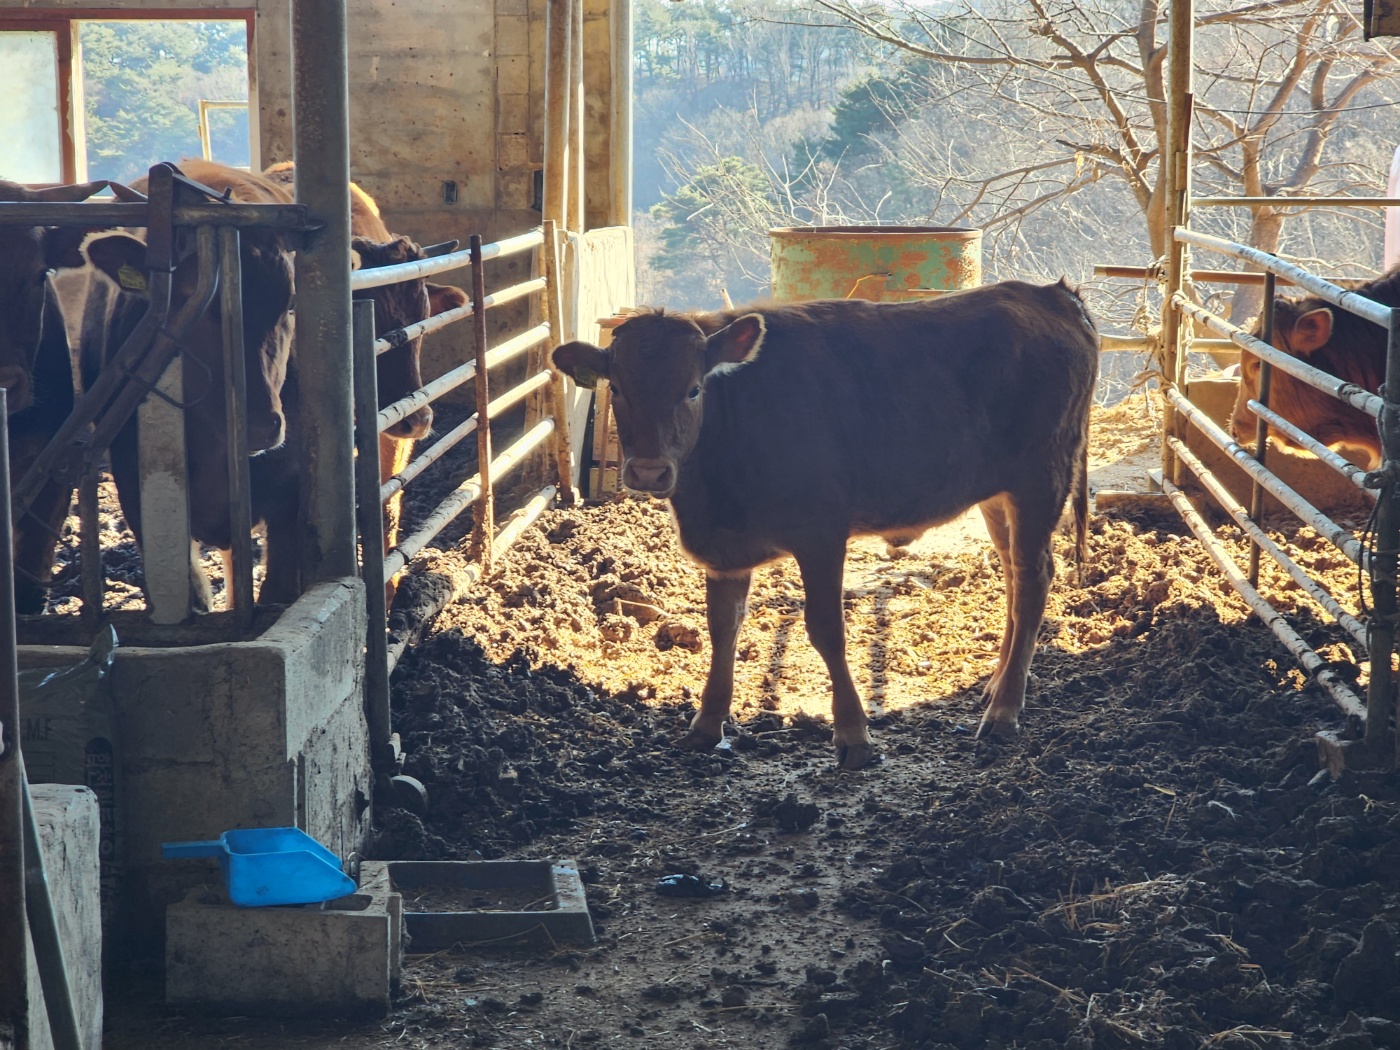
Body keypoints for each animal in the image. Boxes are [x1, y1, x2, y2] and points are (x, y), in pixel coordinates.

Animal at [551, 285, 1097, 772]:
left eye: (693, 388)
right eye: (618, 388)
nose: (648, 472)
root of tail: (1051, 294)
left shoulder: (821, 535)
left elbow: (827, 630)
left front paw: (854, 735)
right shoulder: (725, 551)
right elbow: (723, 626)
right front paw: (706, 723)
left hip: (1040, 479)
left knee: (1033, 578)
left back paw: (1004, 710)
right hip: (996, 494)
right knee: (1012, 574)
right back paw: (997, 682)